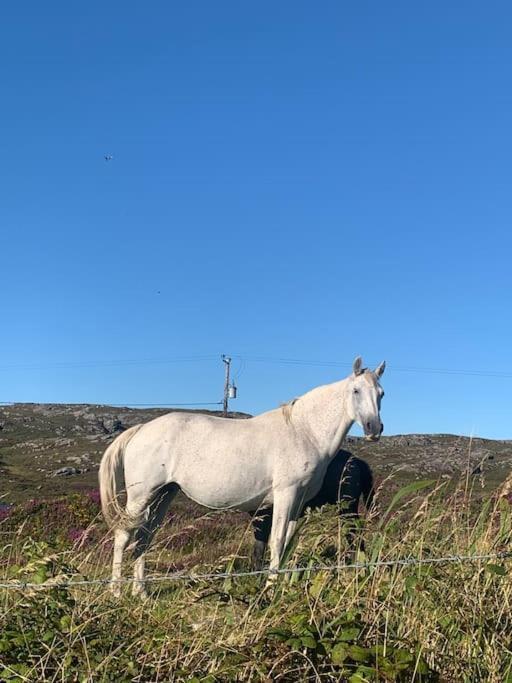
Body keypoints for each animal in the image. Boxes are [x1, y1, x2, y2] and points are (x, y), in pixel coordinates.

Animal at [99, 358, 384, 600]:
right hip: (140, 496)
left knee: (144, 537)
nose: (374, 429)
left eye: (381, 393)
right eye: (356, 391)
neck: (304, 431)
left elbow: (287, 543)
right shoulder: (285, 495)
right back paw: (116, 592)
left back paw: (142, 593)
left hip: (163, 495)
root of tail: (140, 430)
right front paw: (270, 591)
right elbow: (276, 542)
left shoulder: (298, 502)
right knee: (124, 535)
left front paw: (281, 587)